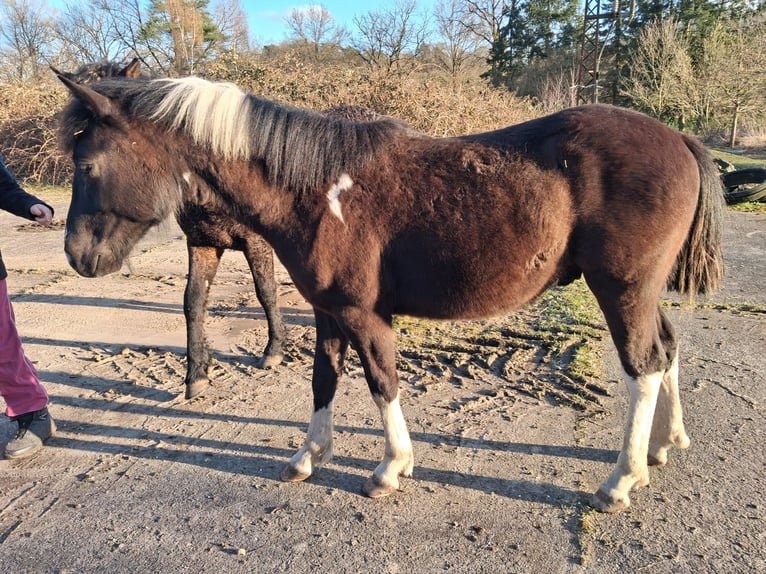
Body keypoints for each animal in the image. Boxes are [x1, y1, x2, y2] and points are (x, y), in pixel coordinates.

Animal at [55, 73, 724, 513]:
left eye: (87, 166)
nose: (79, 257)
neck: (316, 191)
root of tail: (681, 140)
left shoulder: (364, 314)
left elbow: (382, 383)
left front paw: (389, 468)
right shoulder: (327, 312)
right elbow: (323, 381)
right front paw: (308, 457)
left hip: (622, 290)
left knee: (643, 366)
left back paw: (621, 480)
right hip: (642, 293)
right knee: (668, 351)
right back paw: (665, 446)